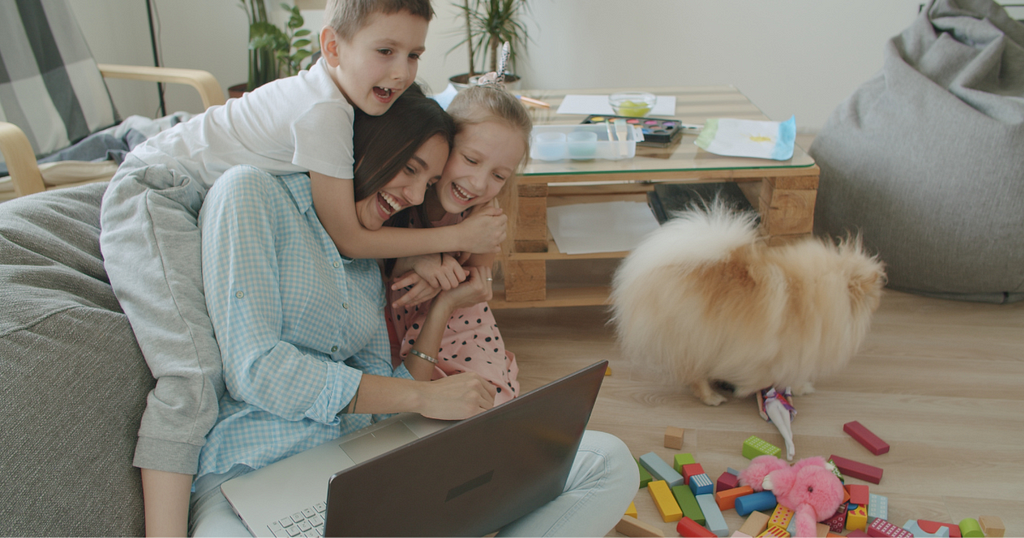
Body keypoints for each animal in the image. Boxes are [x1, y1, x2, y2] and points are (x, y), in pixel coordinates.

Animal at [610, 203, 884, 405]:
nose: (879, 301)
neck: (814, 289)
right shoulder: (793, 350)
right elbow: (789, 375)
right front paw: (799, 387)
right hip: (694, 340)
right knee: (695, 375)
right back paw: (712, 397)